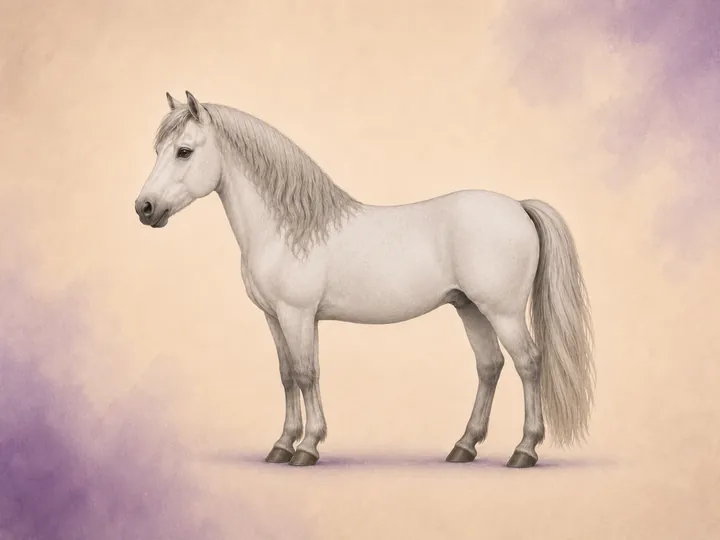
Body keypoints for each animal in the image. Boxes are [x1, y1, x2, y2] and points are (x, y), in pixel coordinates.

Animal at [134, 91, 595, 468]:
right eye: (158, 149)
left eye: (184, 151)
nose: (144, 207)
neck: (289, 229)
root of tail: (518, 206)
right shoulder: (274, 317)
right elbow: (286, 375)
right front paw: (282, 445)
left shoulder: (298, 315)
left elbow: (306, 373)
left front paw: (307, 448)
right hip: (471, 309)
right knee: (490, 366)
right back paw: (463, 447)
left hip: (503, 312)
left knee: (528, 364)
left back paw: (524, 451)